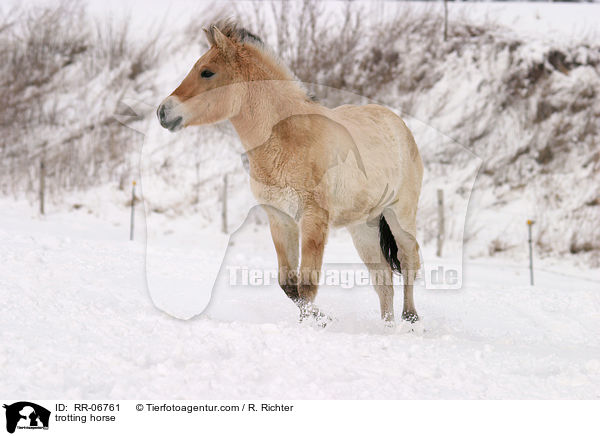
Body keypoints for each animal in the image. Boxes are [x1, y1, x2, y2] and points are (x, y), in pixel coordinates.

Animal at [157, 20, 424, 324]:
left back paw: (410, 319)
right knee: (383, 278)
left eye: (207, 72)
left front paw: (315, 323)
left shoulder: (313, 218)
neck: (289, 137)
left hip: (400, 214)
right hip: (362, 225)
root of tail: (398, 124)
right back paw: (387, 326)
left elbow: (306, 285)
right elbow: (289, 285)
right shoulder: (280, 218)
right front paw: (320, 319)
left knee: (408, 260)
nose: (163, 111)